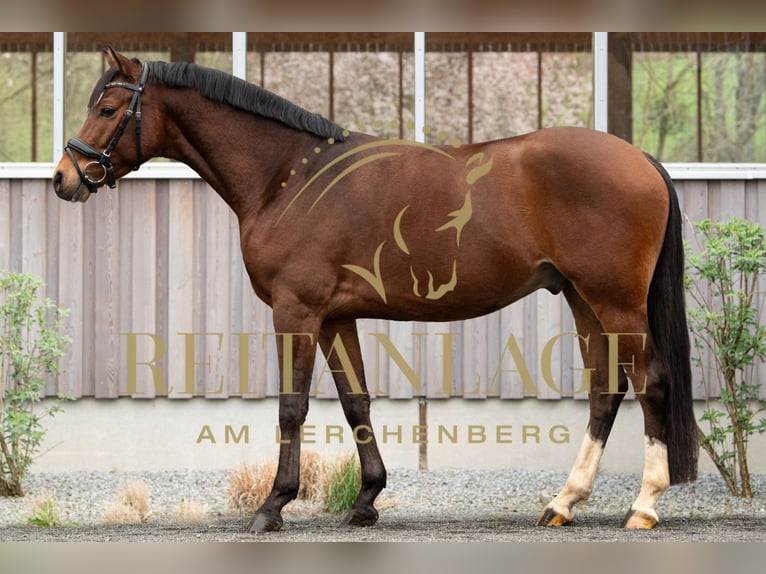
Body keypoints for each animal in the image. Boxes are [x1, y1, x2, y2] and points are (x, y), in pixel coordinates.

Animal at [53, 48, 698, 533]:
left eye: (107, 107)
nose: (64, 179)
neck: (290, 175)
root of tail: (639, 158)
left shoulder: (297, 312)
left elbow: (292, 407)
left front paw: (272, 506)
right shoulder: (337, 317)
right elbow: (355, 401)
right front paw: (366, 501)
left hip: (614, 300)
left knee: (651, 382)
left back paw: (643, 506)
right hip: (583, 299)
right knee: (605, 390)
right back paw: (563, 502)